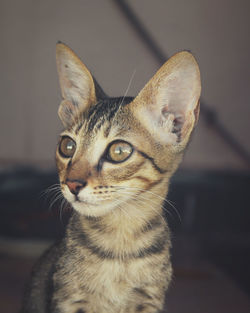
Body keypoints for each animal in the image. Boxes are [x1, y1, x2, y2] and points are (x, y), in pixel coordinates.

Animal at [21, 42, 201, 312]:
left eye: (119, 151)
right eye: (67, 147)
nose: (72, 184)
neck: (120, 242)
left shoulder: (149, 299)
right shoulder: (69, 298)